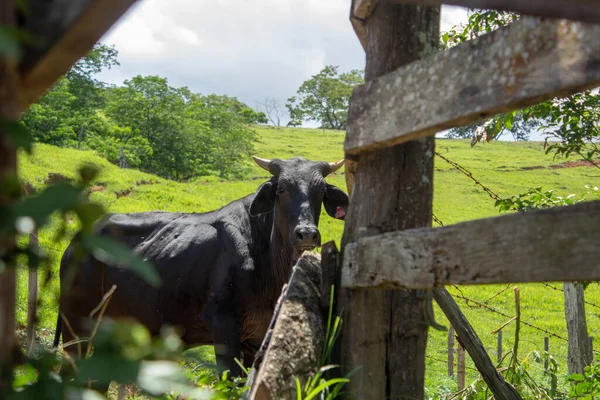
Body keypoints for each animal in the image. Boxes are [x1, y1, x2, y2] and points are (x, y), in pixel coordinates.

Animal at [54, 156, 350, 378]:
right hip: (76, 330)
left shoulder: (256, 336)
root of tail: (77, 240)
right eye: (282, 189)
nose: (306, 233)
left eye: (321, 191)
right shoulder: (223, 326)